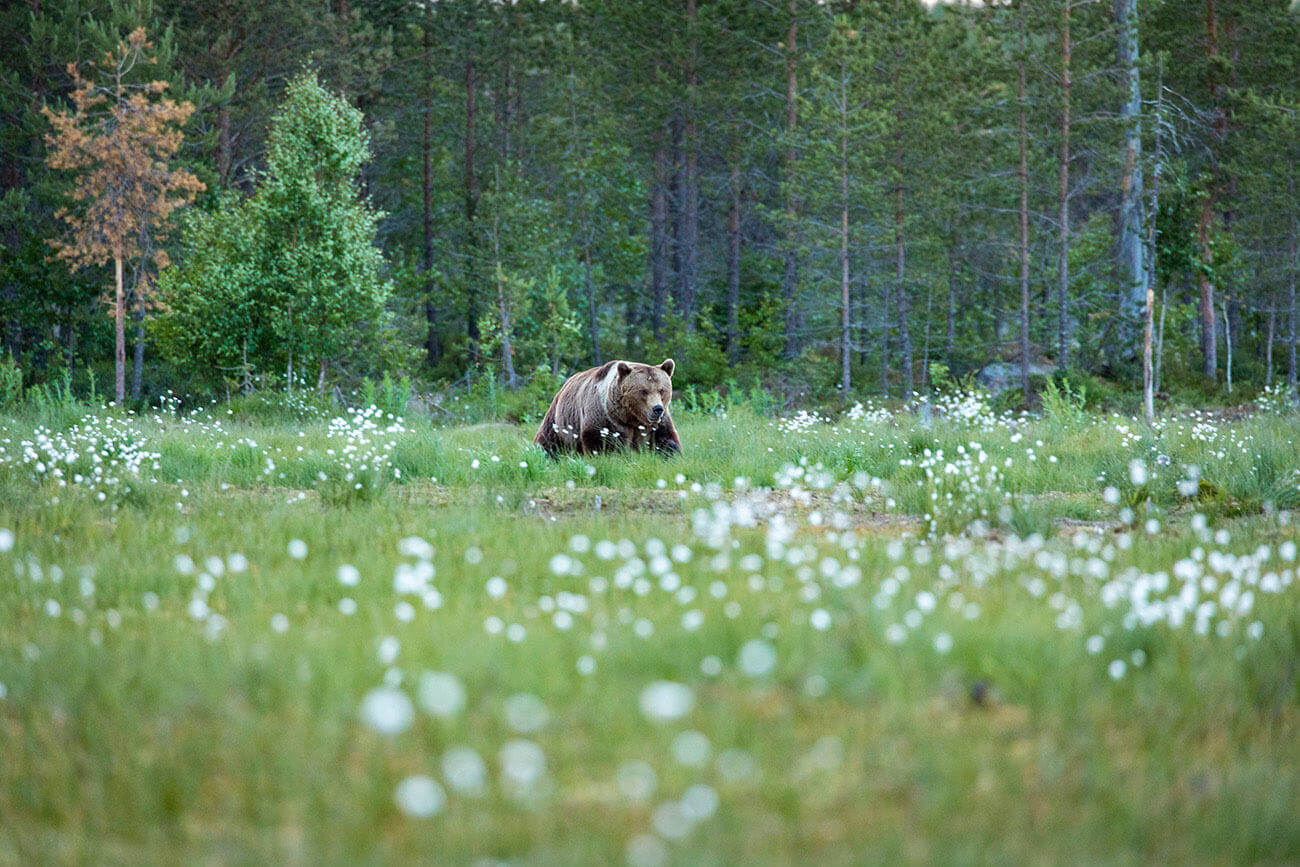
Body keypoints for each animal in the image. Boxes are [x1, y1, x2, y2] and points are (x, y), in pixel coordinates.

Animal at [535, 358, 686, 457]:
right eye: (644, 391)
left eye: (661, 390)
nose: (657, 409)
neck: (631, 418)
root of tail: (565, 384)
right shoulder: (606, 418)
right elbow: (602, 443)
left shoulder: (656, 424)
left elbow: (665, 441)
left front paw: (671, 455)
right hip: (560, 420)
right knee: (549, 441)